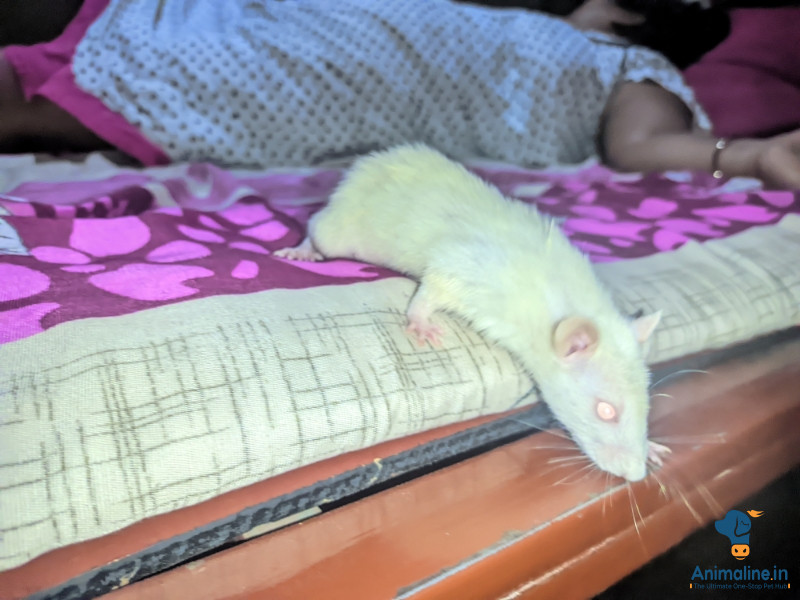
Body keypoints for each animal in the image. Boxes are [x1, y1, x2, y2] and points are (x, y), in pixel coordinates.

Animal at [275, 144, 666, 482]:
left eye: (647, 407)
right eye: (606, 411)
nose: (635, 475)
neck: (564, 296)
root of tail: (369, 163)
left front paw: (652, 447)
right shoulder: (481, 273)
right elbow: (438, 281)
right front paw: (421, 321)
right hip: (348, 227)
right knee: (319, 227)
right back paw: (303, 249)